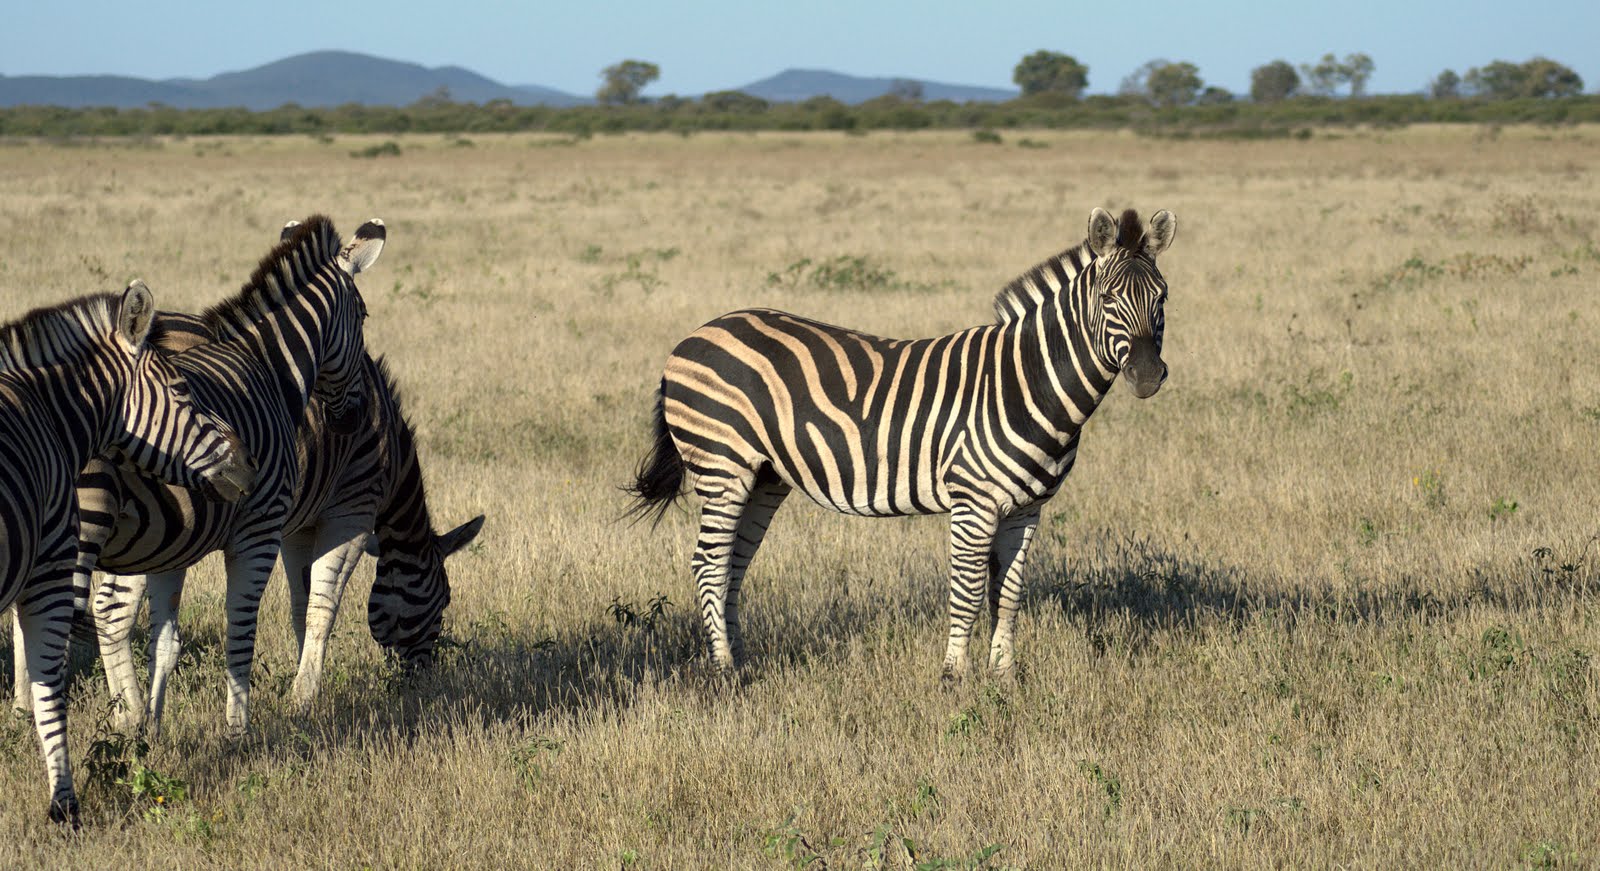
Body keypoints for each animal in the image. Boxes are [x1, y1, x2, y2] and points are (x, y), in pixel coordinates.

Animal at [19, 214, 380, 739]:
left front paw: (151, 724)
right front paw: (237, 731)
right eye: (364, 315)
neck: (268, 370)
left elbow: (163, 638)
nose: (353, 420)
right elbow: (240, 631)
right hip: (82, 527)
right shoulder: (259, 530)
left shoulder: (172, 542)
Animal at [627, 208, 1177, 675]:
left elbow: (1009, 593)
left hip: (765, 476)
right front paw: (954, 677)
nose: (1148, 376)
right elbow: (967, 590)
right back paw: (724, 670)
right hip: (723, 466)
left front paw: (1005, 677)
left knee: (733, 566)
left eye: (1163, 298)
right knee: (708, 564)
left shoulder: (1027, 509)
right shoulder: (973, 501)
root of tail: (693, 336)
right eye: (1108, 299)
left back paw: (742, 662)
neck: (1026, 382)